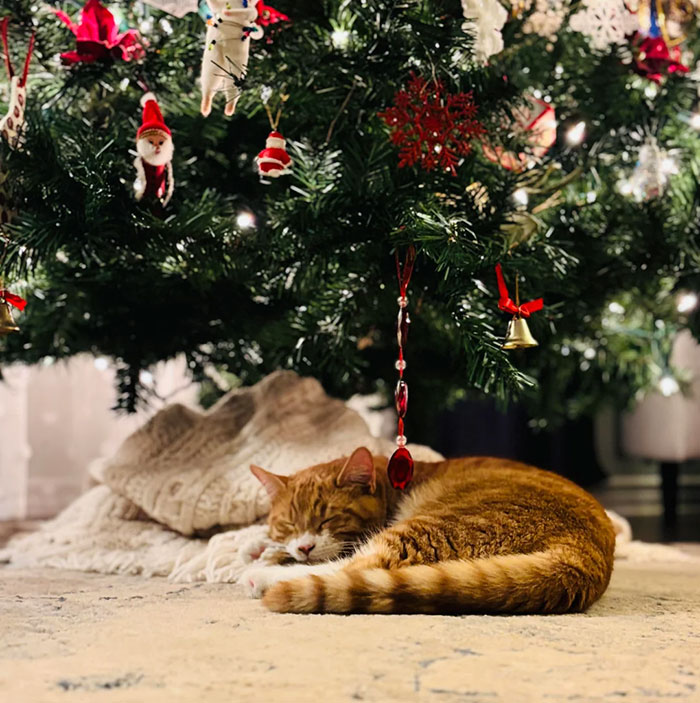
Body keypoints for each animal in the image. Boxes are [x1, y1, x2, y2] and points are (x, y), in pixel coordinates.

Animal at [243, 446, 616, 616]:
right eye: (289, 524)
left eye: (327, 520)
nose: (304, 547)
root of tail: (583, 556)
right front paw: (259, 546)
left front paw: (262, 561)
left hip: (433, 526)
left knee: (360, 566)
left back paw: (260, 578)